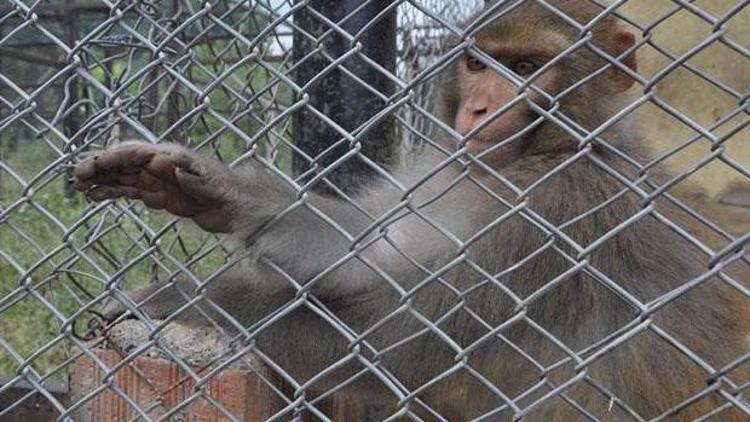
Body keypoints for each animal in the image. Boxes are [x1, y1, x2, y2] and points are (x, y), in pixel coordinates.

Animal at [70, 1, 750, 420]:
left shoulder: (558, 216)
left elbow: (402, 342)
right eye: (479, 62)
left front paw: (191, 299)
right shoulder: (458, 171)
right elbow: (366, 252)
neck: (542, 153)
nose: (478, 110)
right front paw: (207, 190)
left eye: (526, 67)